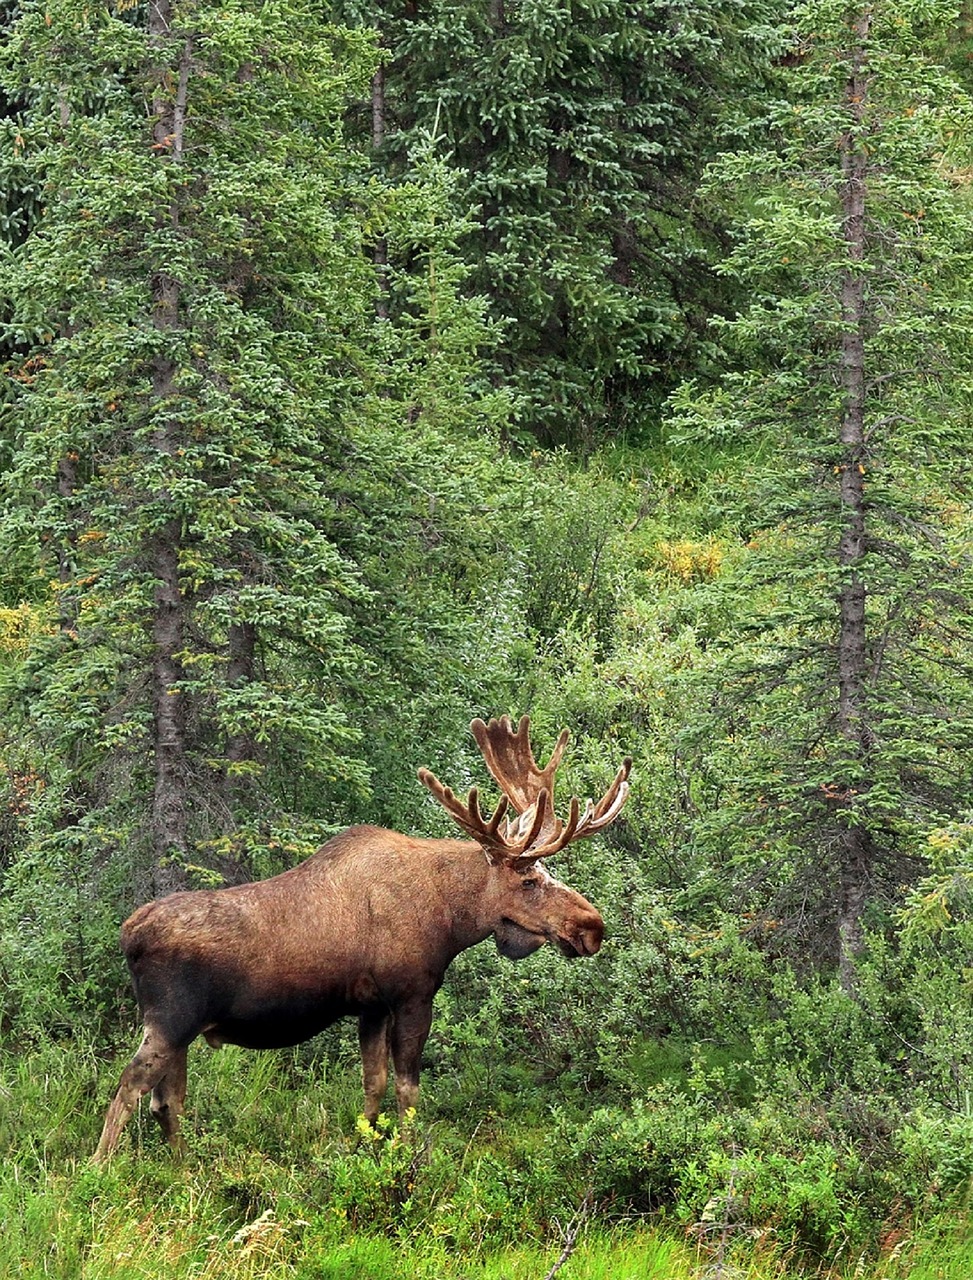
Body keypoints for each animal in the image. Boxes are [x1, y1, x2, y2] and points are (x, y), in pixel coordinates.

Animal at [92, 716, 629, 1167]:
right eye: (529, 880)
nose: (592, 927)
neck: (450, 916)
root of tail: (129, 934)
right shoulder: (412, 994)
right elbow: (408, 1089)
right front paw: (409, 1156)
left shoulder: (370, 1006)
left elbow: (373, 1085)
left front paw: (365, 1144)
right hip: (170, 1019)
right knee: (129, 1086)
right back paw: (100, 1172)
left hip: (181, 1031)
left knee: (166, 1101)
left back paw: (184, 1168)